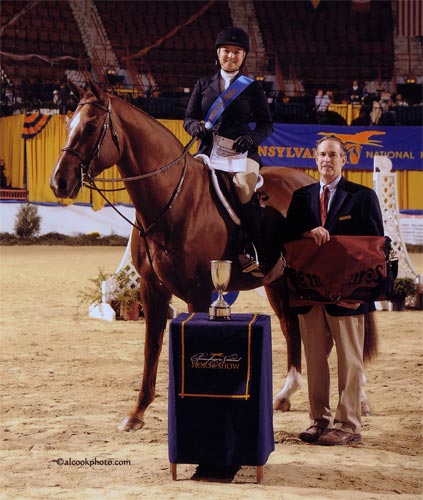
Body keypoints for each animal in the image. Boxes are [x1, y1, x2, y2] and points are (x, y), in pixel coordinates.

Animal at [50, 81, 378, 430]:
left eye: (90, 126)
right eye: (68, 125)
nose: (59, 182)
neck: (173, 199)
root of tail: (313, 182)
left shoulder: (199, 292)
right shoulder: (152, 290)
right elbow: (151, 348)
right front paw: (136, 414)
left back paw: (359, 400)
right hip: (278, 284)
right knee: (292, 328)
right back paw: (285, 395)